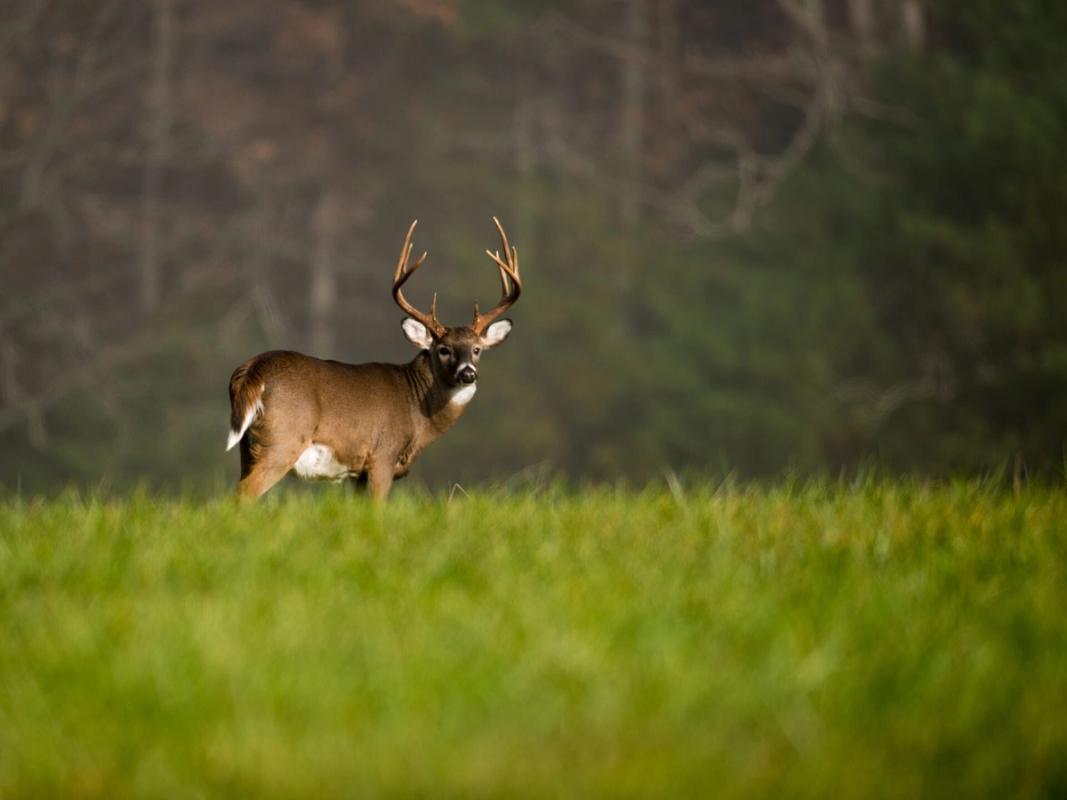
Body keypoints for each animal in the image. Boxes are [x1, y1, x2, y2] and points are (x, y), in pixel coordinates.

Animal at [225, 217, 521, 500]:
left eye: (477, 349)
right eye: (443, 349)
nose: (468, 373)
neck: (417, 411)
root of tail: (252, 369)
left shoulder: (357, 472)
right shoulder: (382, 456)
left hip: (247, 448)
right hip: (281, 441)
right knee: (242, 494)